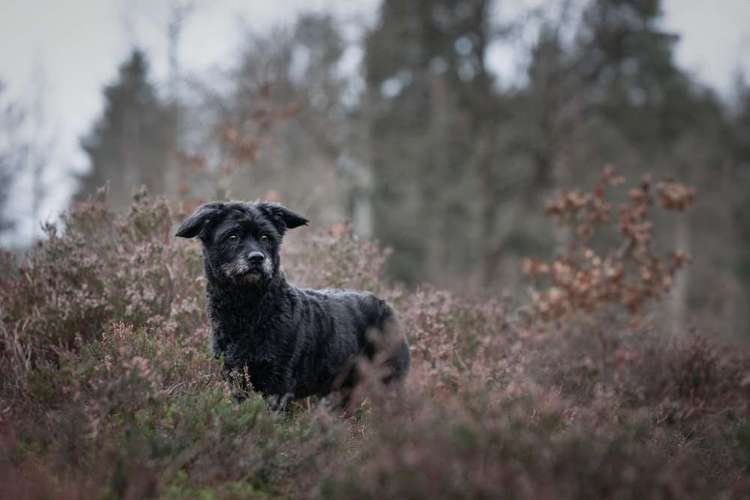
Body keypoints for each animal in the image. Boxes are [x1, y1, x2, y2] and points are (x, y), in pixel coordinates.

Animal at [176, 200, 412, 406]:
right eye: (232, 236)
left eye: (265, 237)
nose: (257, 258)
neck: (249, 310)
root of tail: (385, 305)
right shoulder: (236, 380)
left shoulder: (278, 384)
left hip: (389, 381)